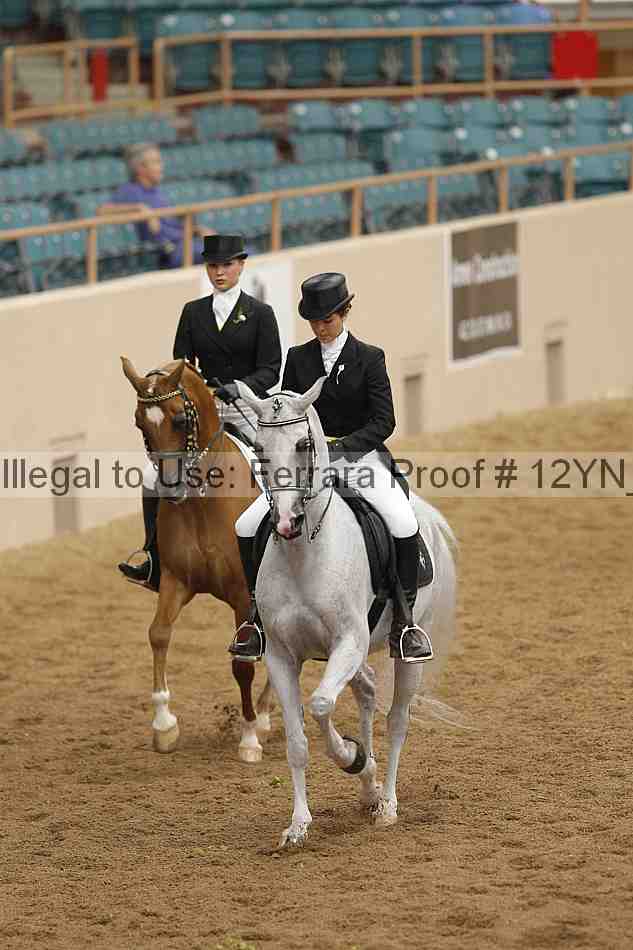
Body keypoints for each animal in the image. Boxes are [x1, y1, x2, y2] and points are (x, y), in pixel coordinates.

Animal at [121, 356, 275, 762]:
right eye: (140, 423)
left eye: (179, 419)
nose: (171, 488)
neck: (203, 500)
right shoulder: (175, 579)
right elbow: (158, 634)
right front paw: (164, 726)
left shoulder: (243, 595)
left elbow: (241, 664)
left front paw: (248, 739)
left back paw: (263, 718)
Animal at [236, 378, 457, 848]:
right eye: (259, 447)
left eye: (303, 444)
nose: (286, 522)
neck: (305, 554)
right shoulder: (280, 655)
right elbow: (297, 741)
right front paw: (298, 825)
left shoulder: (348, 642)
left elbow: (321, 705)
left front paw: (351, 756)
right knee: (368, 690)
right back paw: (369, 790)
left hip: (404, 648)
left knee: (397, 719)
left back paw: (387, 803)